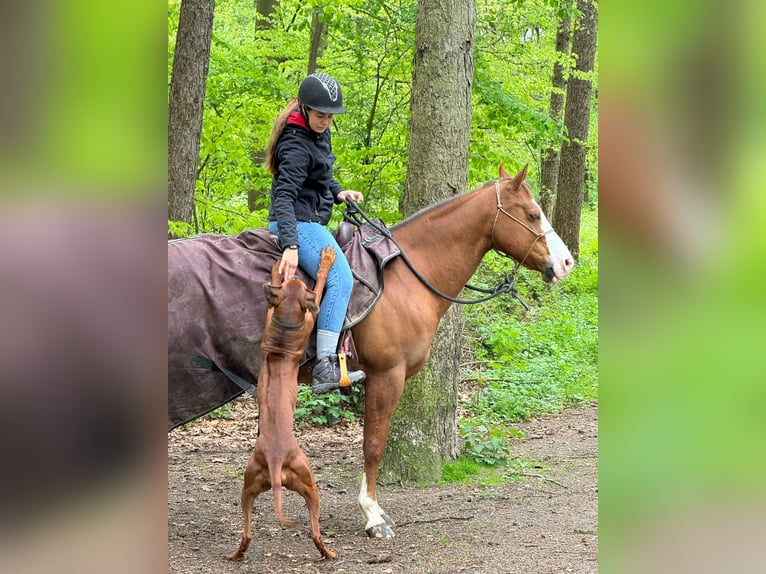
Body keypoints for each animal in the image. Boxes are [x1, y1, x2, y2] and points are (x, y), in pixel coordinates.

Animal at [226, 248, 338, 564]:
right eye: (298, 285)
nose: (295, 274)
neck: (285, 328)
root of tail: (276, 461)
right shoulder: (311, 315)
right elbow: (320, 287)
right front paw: (326, 261)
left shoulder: (269, 316)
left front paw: (278, 270)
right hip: (310, 483)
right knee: (315, 531)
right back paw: (329, 552)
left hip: (248, 487)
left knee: (247, 532)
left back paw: (236, 554)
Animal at [344, 163, 572, 540]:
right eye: (532, 214)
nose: (567, 262)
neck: (403, 278)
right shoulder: (385, 375)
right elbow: (373, 445)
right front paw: (372, 515)